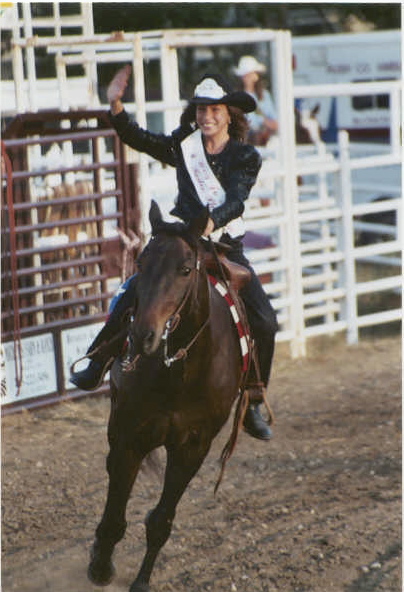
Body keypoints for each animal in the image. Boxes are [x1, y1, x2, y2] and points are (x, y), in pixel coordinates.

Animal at [89, 201, 249, 588]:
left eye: (185, 269)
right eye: (141, 264)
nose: (142, 335)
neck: (179, 373)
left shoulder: (193, 446)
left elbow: (161, 521)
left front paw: (141, 582)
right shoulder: (130, 436)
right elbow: (114, 514)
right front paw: (100, 566)